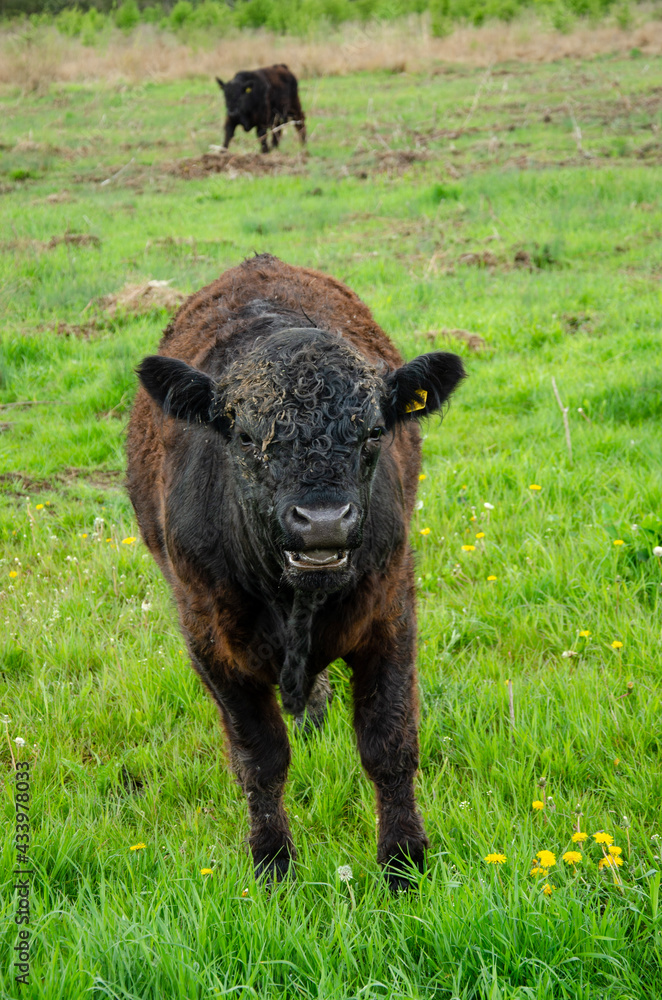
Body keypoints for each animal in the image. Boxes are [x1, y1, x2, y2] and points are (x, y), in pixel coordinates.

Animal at [127, 255, 465, 889]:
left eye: (373, 431)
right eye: (244, 435)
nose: (323, 522)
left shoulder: (391, 615)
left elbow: (389, 744)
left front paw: (403, 864)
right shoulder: (209, 640)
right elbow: (260, 758)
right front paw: (273, 864)